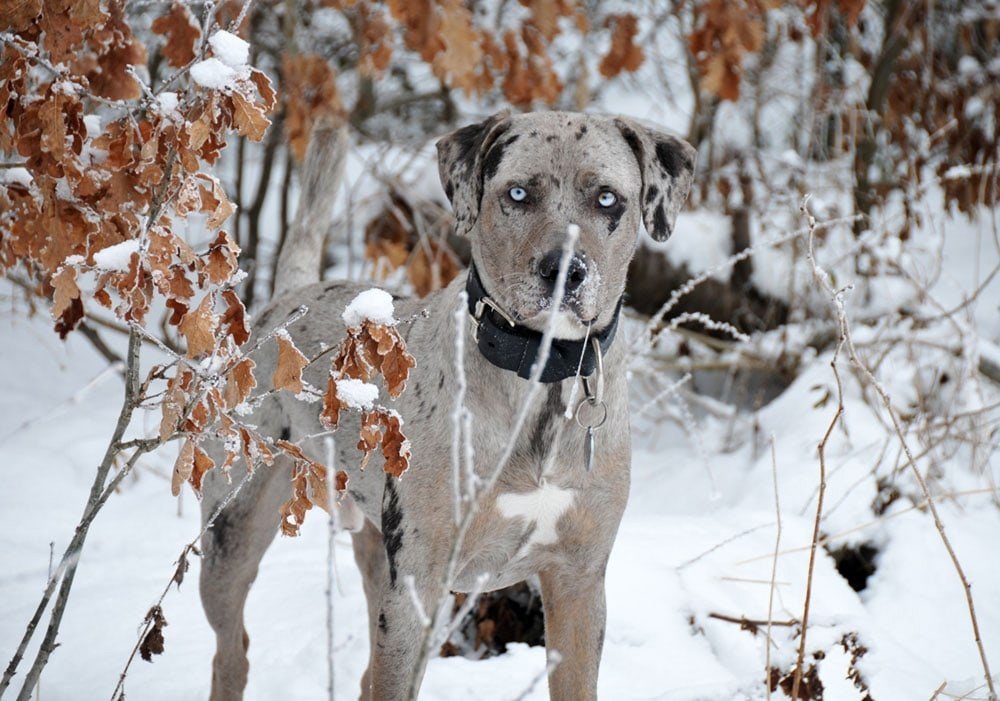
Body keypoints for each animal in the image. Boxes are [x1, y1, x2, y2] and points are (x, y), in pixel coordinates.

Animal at [199, 110, 692, 700]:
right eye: (518, 193)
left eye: (608, 198)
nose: (564, 270)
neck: (539, 375)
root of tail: (287, 300)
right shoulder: (417, 586)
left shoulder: (579, 581)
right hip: (233, 532)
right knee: (232, 650)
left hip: (375, 553)